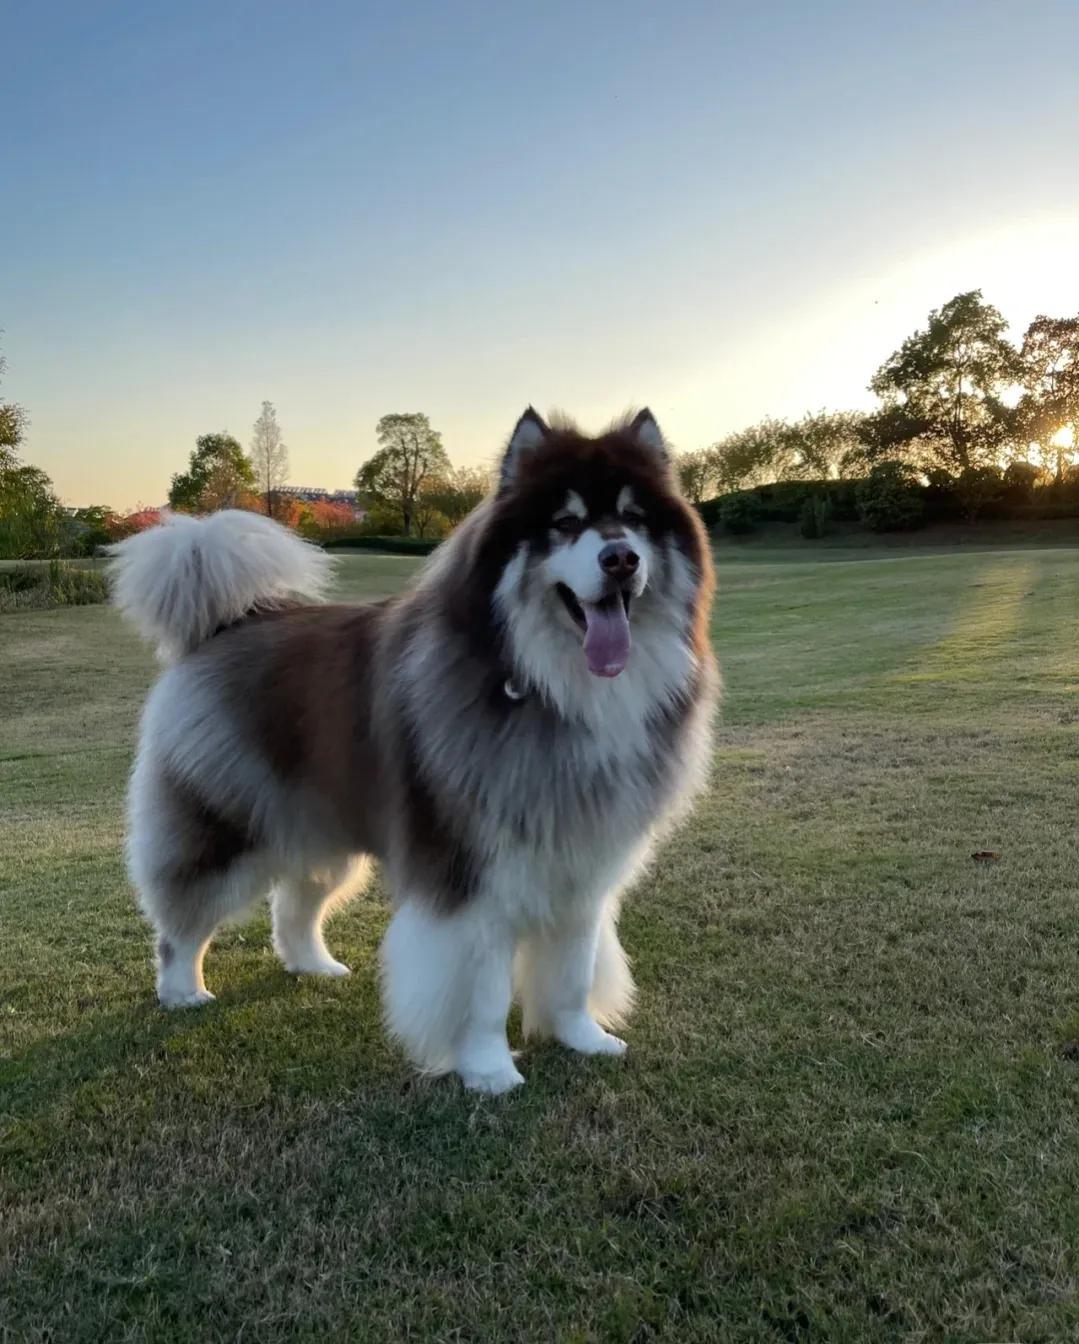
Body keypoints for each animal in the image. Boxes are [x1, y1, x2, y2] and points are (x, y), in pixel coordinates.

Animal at [111, 408, 714, 1091]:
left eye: (635, 520)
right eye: (564, 524)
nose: (621, 559)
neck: (553, 690)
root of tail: (227, 624)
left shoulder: (582, 864)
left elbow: (572, 971)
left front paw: (582, 1038)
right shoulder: (469, 872)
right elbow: (482, 990)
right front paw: (489, 1071)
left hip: (320, 830)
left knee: (293, 904)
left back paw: (313, 966)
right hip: (223, 825)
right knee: (183, 918)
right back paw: (183, 990)